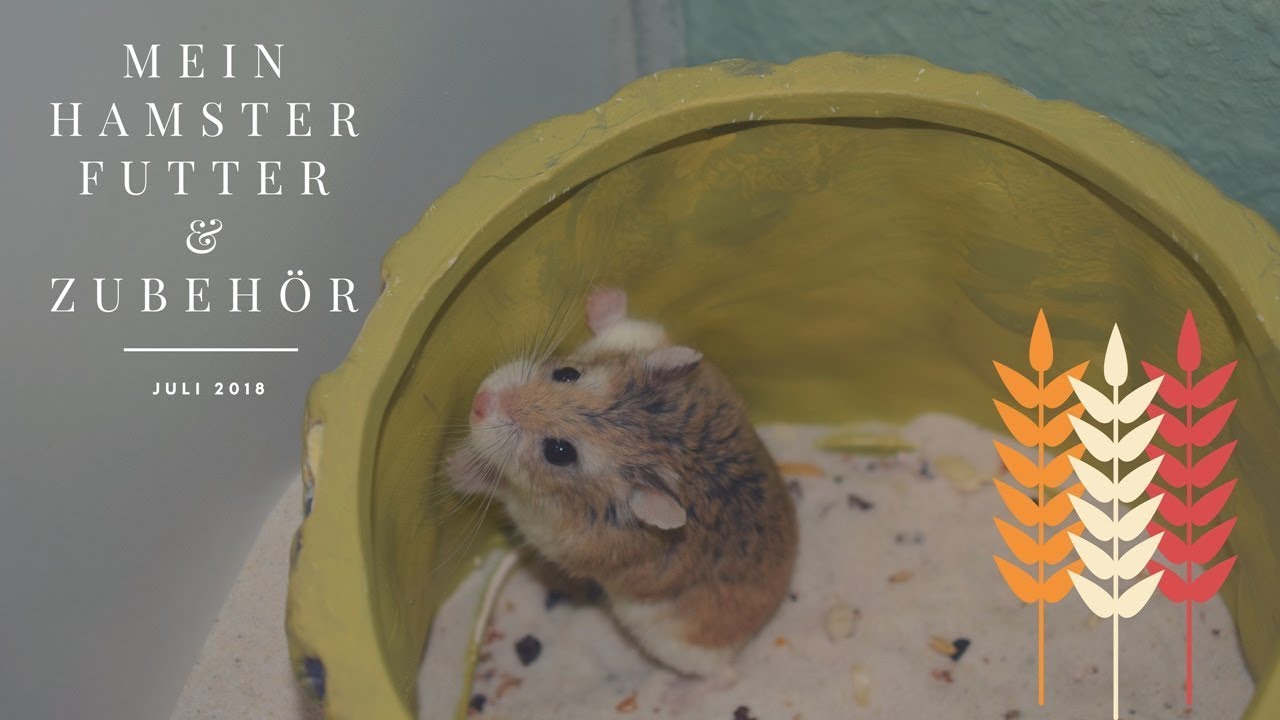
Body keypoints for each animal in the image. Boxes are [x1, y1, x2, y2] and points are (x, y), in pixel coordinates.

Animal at [446, 287, 798, 687]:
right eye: (567, 373)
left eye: (559, 452)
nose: (478, 403)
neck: (662, 445)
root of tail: (764, 617)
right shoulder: (642, 337)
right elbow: (624, 323)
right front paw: (603, 296)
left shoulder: (549, 533)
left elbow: (505, 491)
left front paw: (455, 469)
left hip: (676, 645)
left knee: (723, 676)